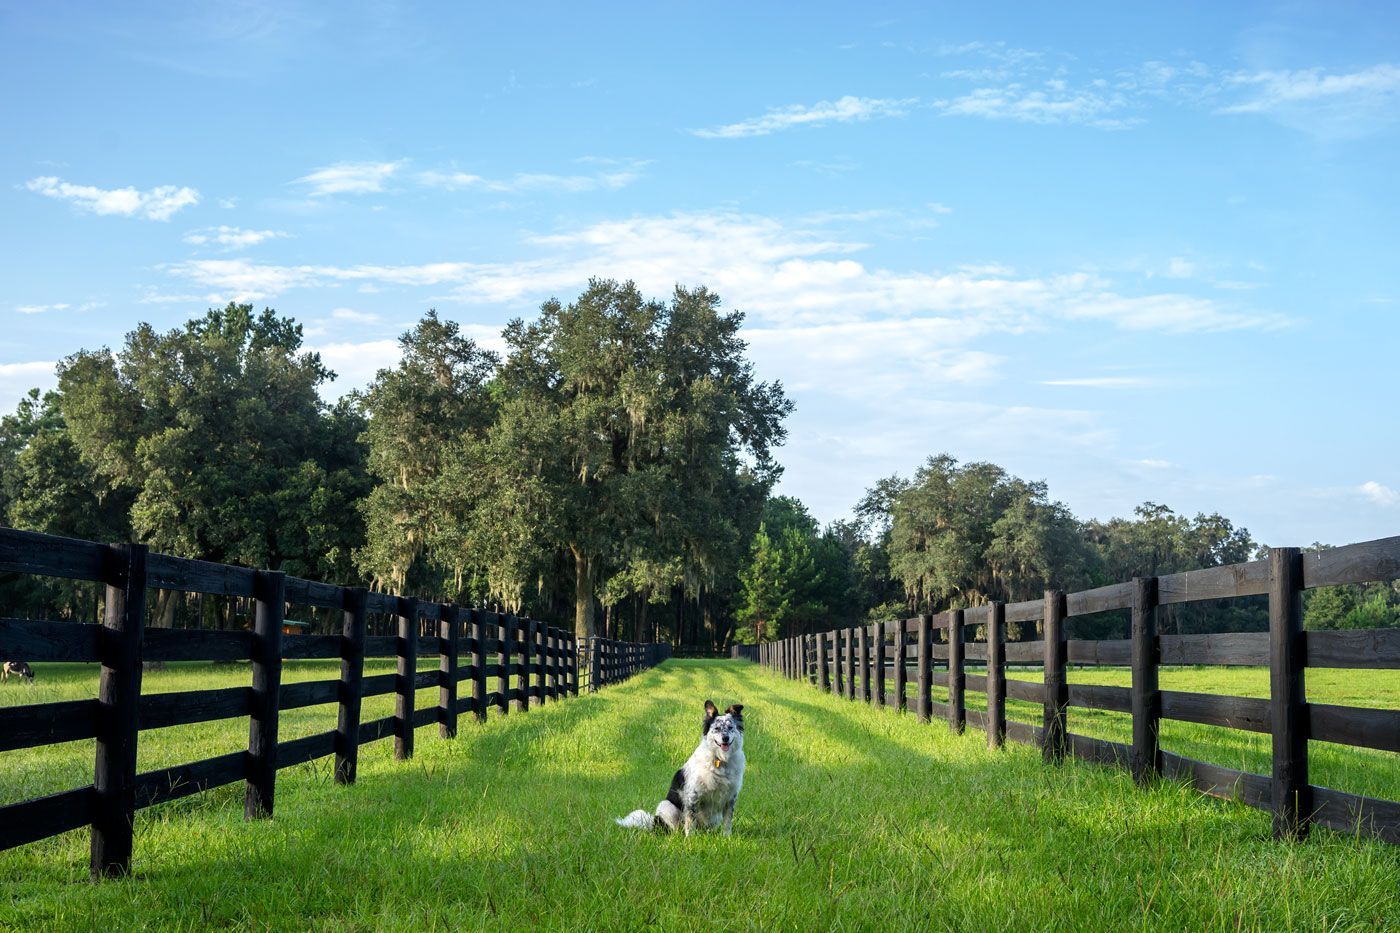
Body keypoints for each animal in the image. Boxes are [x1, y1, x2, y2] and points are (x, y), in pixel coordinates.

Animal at [616, 697, 744, 829]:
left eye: (730, 727)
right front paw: (690, 835)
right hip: (667, 805)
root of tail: (655, 823)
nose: (725, 738)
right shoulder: (693, 795)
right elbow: (690, 823)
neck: (720, 759)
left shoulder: (730, 798)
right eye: (717, 728)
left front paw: (726, 834)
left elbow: (727, 824)